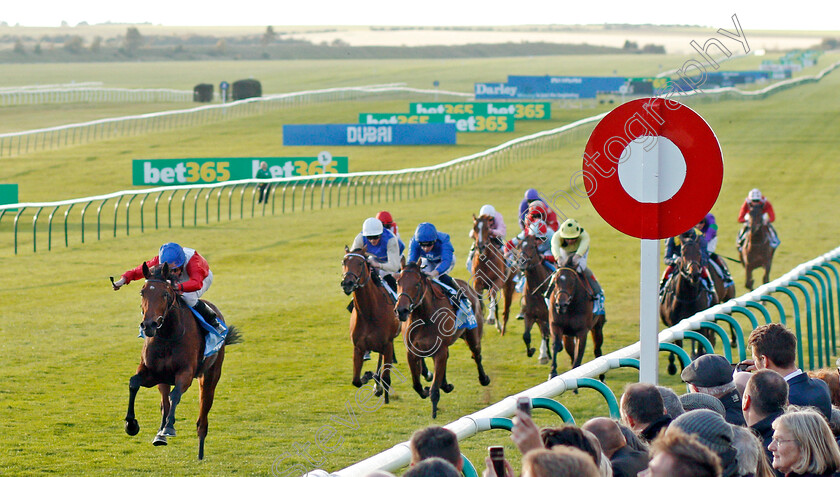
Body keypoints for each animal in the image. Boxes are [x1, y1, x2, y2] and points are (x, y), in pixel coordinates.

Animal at [125, 262, 243, 460]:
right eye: (142, 292)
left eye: (165, 294)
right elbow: (134, 383)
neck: (168, 335)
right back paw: (159, 435)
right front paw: (131, 424)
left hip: (210, 377)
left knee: (202, 417)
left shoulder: (186, 373)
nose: (149, 325)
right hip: (163, 380)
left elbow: (176, 395)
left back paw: (200, 453)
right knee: (164, 403)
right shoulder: (152, 373)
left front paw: (170, 427)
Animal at [342, 245, 406, 402]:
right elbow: (356, 381)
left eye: (360, 263)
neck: (370, 313)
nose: (347, 283)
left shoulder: (387, 344)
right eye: (344, 262)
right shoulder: (358, 347)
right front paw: (369, 377)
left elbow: (386, 376)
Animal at [396, 262, 492, 418]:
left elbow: (434, 389)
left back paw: (483, 379)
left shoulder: (440, 349)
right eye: (398, 282)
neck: (424, 317)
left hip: (473, 335)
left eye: (417, 284)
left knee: (476, 355)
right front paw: (426, 390)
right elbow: (416, 384)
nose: (401, 310)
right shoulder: (411, 352)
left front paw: (434, 412)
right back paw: (446, 384)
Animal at [660, 240, 720, 374]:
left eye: (699, 253)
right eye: (683, 253)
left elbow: (700, 344)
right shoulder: (675, 324)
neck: (687, 297)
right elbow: (678, 350)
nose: (694, 275)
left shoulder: (700, 323)